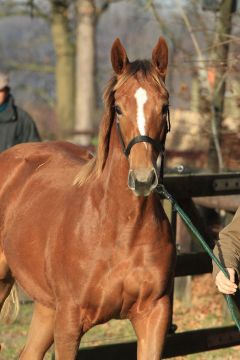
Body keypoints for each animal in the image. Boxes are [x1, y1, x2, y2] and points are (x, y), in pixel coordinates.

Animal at [0, 37, 174, 360]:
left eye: (164, 106)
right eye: (118, 108)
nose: (143, 179)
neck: (120, 231)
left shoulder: (153, 316)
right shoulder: (69, 323)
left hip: (46, 307)